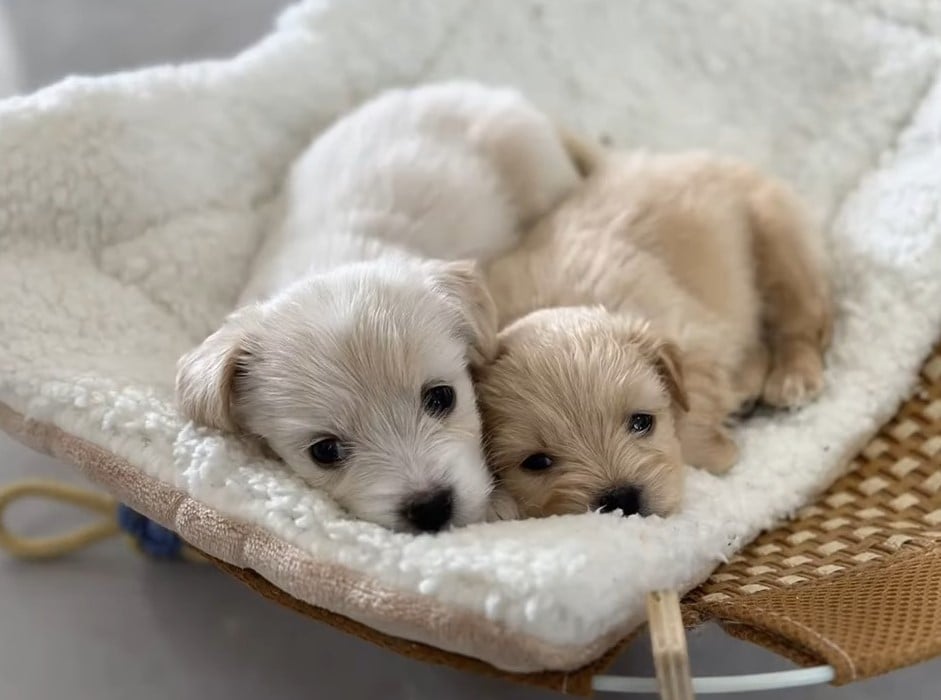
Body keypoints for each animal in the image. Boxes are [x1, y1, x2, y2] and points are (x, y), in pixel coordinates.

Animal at [478, 148, 828, 520]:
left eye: (641, 422)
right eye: (537, 462)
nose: (622, 498)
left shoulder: (693, 336)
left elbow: (692, 415)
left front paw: (715, 453)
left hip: (776, 238)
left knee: (805, 320)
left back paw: (793, 377)